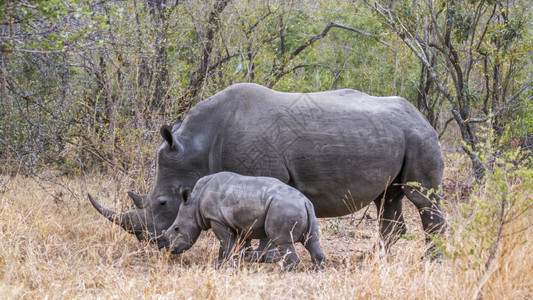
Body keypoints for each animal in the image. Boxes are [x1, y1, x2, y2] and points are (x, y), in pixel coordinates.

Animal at [159, 170, 324, 270]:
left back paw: (285, 271)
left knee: (282, 241)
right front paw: (238, 260)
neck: (194, 204)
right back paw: (317, 269)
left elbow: (225, 243)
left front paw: (220, 265)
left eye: (177, 228)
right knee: (312, 239)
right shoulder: (238, 223)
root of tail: (305, 201)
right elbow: (239, 242)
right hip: (304, 209)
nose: (169, 249)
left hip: (284, 208)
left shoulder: (217, 219)